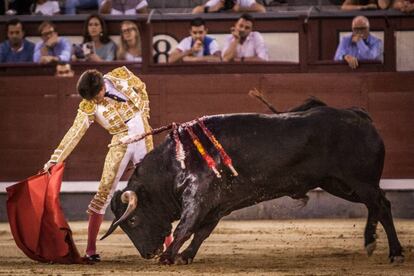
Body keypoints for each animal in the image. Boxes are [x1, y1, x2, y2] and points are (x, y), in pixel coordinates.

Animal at [101, 100, 404, 264]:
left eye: (132, 220)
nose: (148, 254)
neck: (173, 163)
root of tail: (358, 114)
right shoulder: (217, 205)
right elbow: (202, 231)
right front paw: (186, 256)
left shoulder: (199, 196)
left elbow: (186, 226)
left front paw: (169, 256)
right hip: (339, 184)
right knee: (379, 205)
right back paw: (382, 247)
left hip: (358, 181)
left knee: (380, 204)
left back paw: (387, 249)